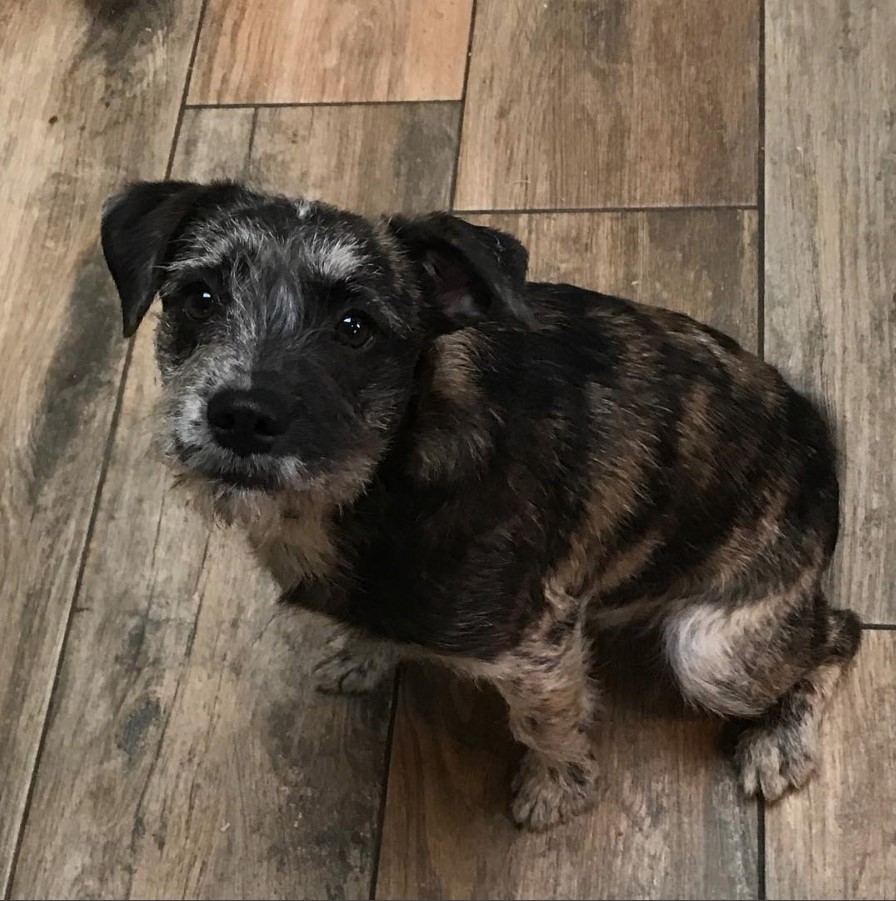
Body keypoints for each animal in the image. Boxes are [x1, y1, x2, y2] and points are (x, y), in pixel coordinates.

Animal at [101, 181, 864, 828]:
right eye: (199, 297)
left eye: (356, 325)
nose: (242, 414)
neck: (388, 474)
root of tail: (822, 450)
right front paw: (364, 652)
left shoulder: (537, 643)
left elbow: (547, 722)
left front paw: (555, 787)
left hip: (714, 651)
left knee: (840, 635)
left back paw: (778, 741)